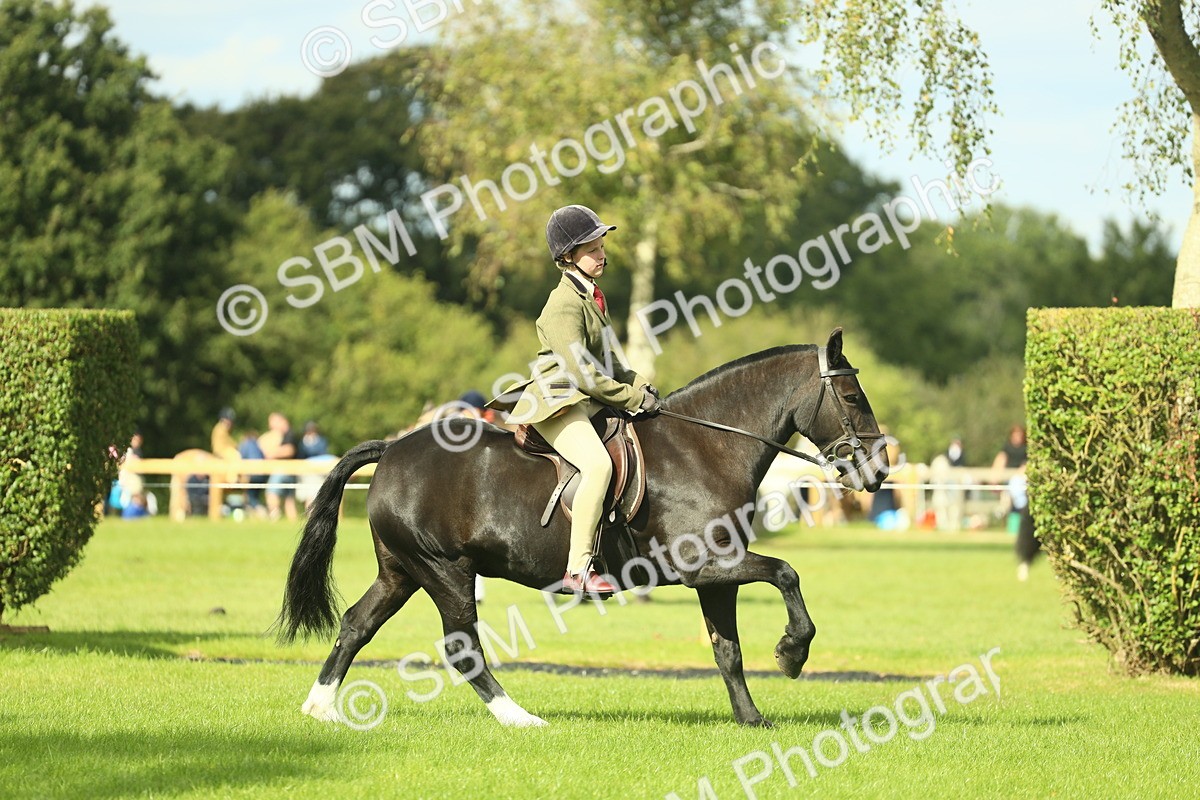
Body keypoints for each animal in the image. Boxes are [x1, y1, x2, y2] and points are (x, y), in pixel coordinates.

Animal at [276, 328, 889, 728]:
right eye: (853, 396)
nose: (879, 471)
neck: (705, 448)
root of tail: (393, 448)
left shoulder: (717, 576)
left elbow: (727, 651)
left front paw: (750, 719)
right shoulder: (705, 565)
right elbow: (786, 573)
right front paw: (792, 654)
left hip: (401, 571)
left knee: (357, 624)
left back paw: (319, 707)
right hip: (445, 571)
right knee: (462, 646)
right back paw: (519, 719)